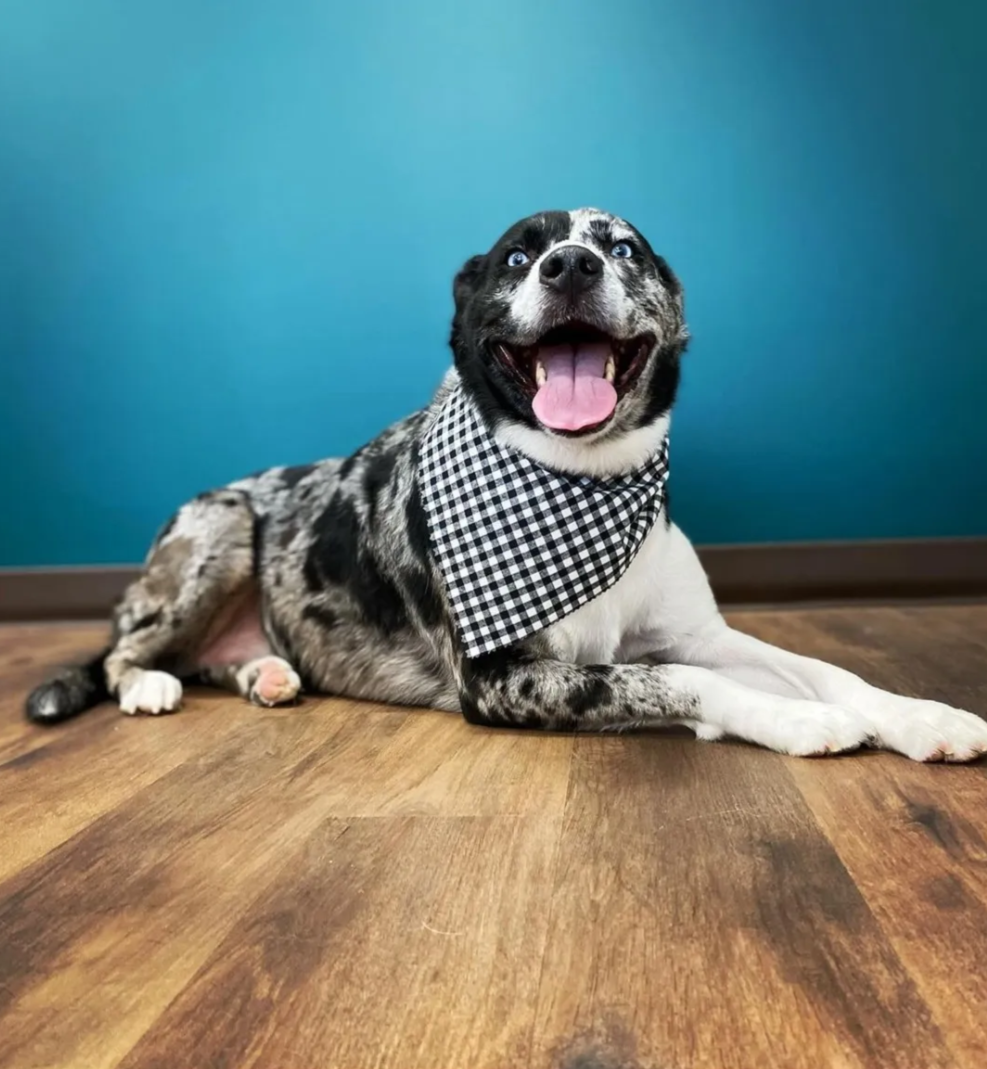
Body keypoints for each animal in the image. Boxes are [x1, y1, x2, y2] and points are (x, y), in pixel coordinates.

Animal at [26, 208, 987, 762]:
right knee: (122, 652)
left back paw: (264, 670)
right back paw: (147, 683)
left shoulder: (698, 633)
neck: (579, 480)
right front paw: (794, 721)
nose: (569, 265)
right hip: (216, 528)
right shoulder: (504, 679)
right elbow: (684, 684)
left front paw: (921, 716)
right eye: (517, 258)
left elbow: (823, 666)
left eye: (622, 248)